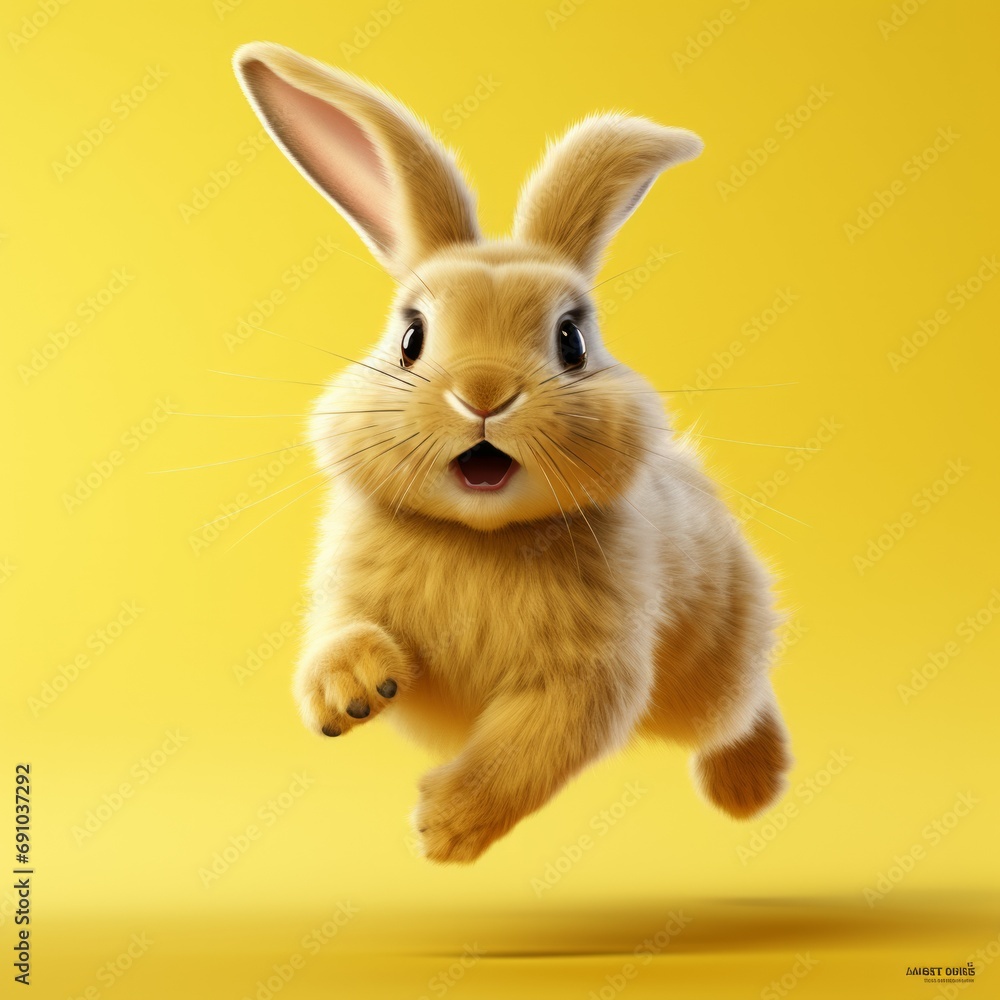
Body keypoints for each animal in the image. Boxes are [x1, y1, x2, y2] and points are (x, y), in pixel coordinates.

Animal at [233, 42, 792, 864]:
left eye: (572, 340)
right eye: (410, 337)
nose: (485, 393)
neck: (480, 539)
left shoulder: (591, 675)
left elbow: (529, 750)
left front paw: (444, 830)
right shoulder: (346, 597)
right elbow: (336, 636)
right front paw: (354, 693)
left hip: (719, 664)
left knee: (742, 709)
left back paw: (750, 788)